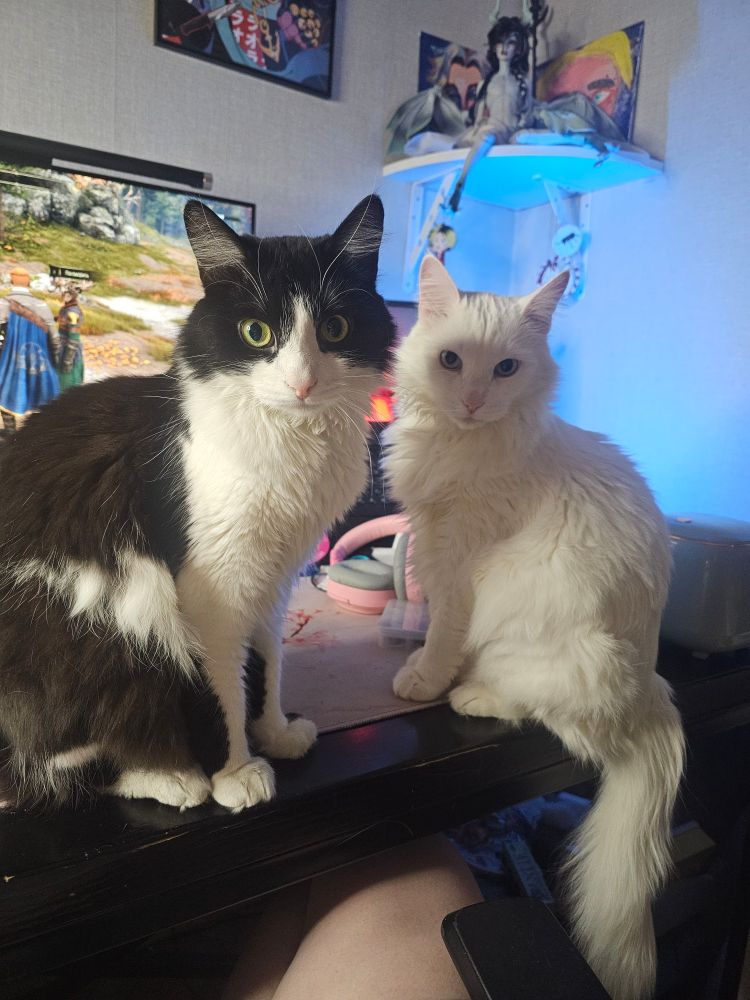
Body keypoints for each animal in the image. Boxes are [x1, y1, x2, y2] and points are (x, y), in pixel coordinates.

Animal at [0, 195, 395, 812]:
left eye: (335, 328)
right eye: (256, 332)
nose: (303, 383)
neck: (292, 441)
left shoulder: (275, 577)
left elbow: (268, 660)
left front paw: (275, 732)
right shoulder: (212, 589)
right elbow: (221, 688)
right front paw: (235, 771)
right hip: (115, 614)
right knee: (51, 767)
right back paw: (171, 776)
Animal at [384, 254, 685, 1000]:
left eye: (506, 369)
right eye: (452, 360)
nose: (471, 400)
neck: (462, 442)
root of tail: (652, 691)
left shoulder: (458, 560)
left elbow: (443, 629)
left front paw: (424, 679)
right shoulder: (432, 539)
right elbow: (434, 622)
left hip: (548, 644)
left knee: (538, 712)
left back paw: (471, 693)